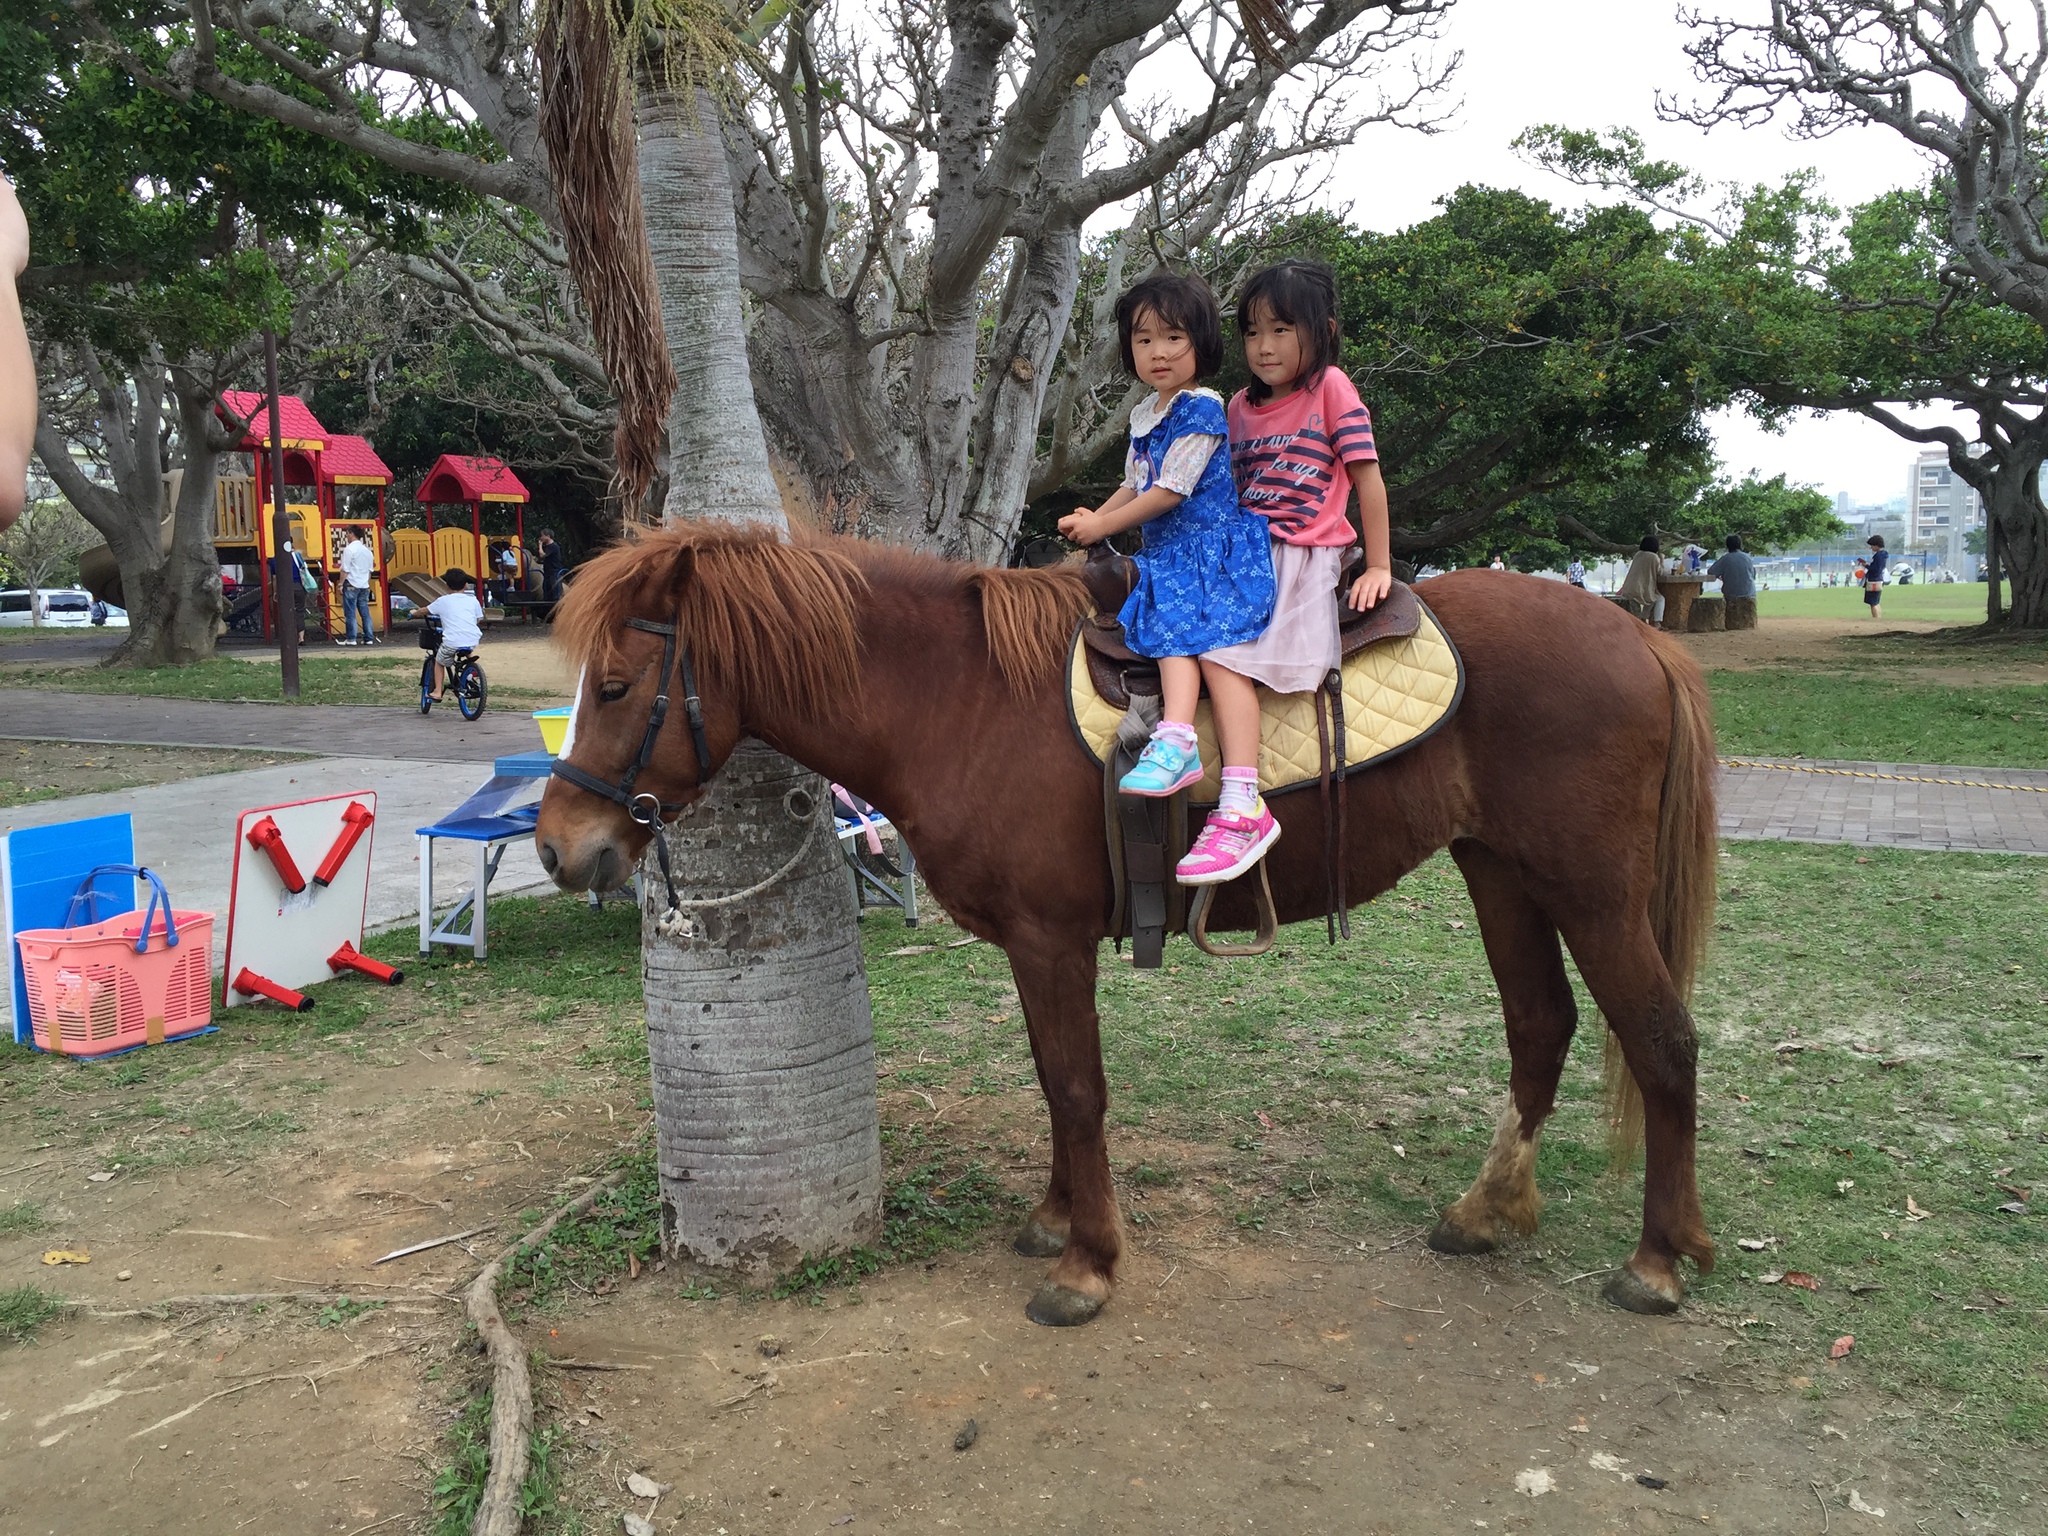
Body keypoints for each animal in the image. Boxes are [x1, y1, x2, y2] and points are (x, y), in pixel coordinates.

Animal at [536, 524, 1720, 1327]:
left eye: (618, 684)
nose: (557, 848)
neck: (961, 700)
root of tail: (1638, 637)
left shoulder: (1050, 940)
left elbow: (1074, 1087)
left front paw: (1087, 1264)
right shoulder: (1035, 950)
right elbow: (1050, 1080)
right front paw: (1058, 1221)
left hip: (1589, 889)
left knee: (1661, 1039)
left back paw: (1656, 1260)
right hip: (1503, 874)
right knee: (1540, 1027)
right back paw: (1485, 1209)